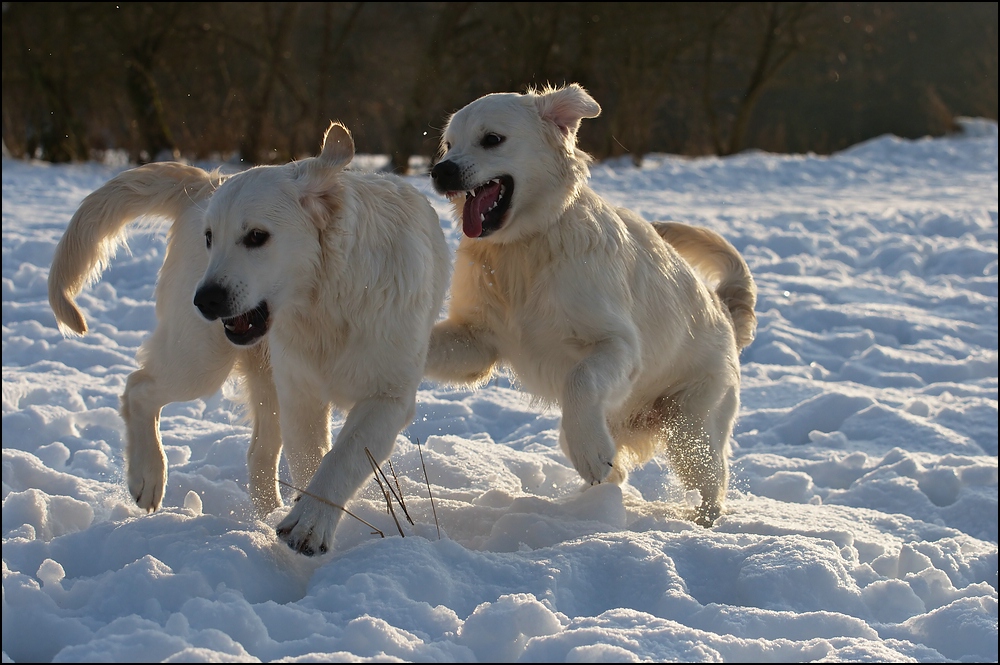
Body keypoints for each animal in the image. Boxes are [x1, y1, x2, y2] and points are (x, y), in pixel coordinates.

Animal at [49, 122, 450, 552]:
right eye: (210, 237)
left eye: (257, 236)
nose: (205, 299)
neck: (329, 302)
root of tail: (209, 182)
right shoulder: (301, 392)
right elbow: (313, 460)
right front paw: (305, 525)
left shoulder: (388, 396)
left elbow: (340, 458)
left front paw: (307, 523)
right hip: (203, 359)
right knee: (138, 388)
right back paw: (148, 476)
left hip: (259, 380)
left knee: (256, 453)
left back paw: (266, 513)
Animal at [424, 84, 756, 524]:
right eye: (448, 144)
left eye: (491, 139)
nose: (440, 171)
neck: (524, 248)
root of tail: (725, 314)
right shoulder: (476, 342)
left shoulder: (617, 344)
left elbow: (579, 379)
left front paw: (591, 453)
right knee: (617, 471)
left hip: (691, 429)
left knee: (713, 482)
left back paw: (701, 522)